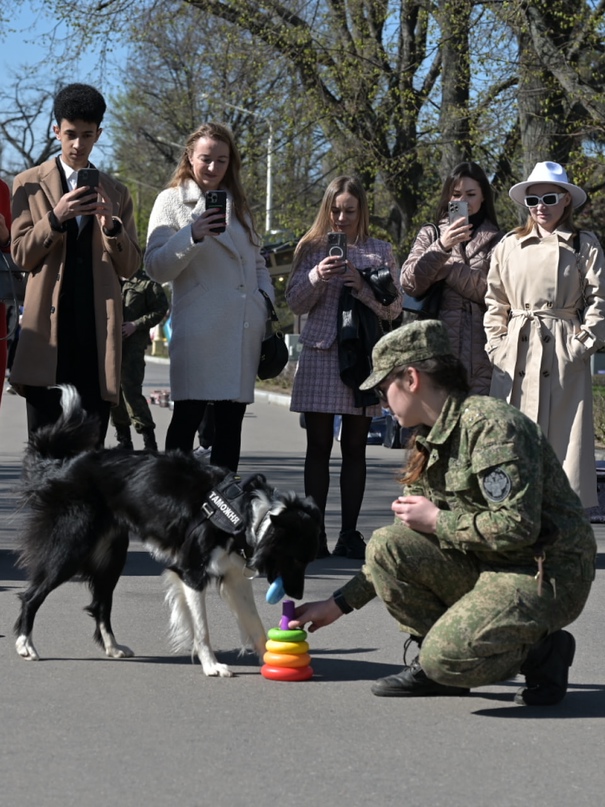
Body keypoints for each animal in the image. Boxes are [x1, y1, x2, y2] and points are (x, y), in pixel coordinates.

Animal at [14, 388, 320, 680]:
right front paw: (212, 666)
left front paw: (269, 656)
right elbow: (202, 628)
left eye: (307, 561)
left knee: (100, 603)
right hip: (71, 548)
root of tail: (63, 466)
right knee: (32, 595)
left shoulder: (233, 577)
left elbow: (254, 623)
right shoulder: (191, 572)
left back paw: (113, 647)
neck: (245, 516)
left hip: (112, 555)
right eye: (295, 559)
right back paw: (25, 644)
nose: (298, 595)